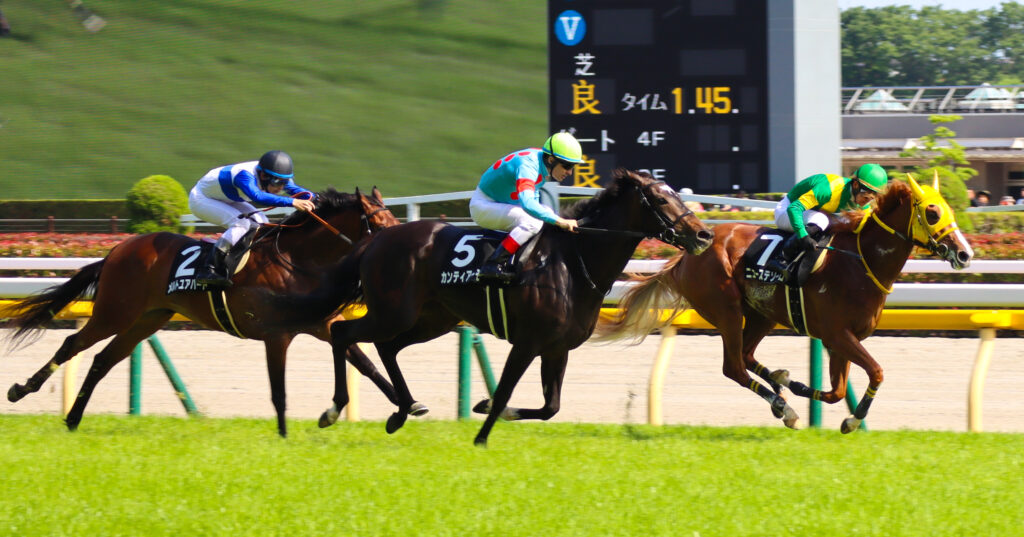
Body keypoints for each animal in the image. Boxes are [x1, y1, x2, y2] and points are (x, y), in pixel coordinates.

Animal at [4, 187, 407, 437]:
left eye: (395, 222)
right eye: (380, 223)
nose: (397, 247)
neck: (298, 260)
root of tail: (118, 250)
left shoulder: (322, 324)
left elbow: (365, 364)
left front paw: (408, 406)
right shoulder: (276, 334)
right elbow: (279, 390)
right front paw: (283, 435)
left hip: (148, 318)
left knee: (104, 359)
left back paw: (73, 419)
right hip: (115, 312)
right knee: (72, 344)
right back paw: (21, 390)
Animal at [317, 169, 714, 446]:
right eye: (661, 200)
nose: (704, 234)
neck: (572, 262)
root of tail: (377, 239)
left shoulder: (557, 348)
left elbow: (550, 407)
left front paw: (484, 408)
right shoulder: (527, 342)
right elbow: (505, 391)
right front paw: (480, 437)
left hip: (431, 317)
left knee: (388, 347)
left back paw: (402, 411)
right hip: (393, 311)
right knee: (342, 332)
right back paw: (334, 409)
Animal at [601, 174, 974, 432]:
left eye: (949, 209)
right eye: (932, 212)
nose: (964, 253)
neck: (859, 262)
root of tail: (687, 255)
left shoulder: (843, 339)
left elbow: (838, 390)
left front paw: (802, 390)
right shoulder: (837, 335)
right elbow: (876, 372)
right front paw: (852, 420)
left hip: (762, 314)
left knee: (746, 356)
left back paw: (780, 386)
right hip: (727, 311)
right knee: (734, 366)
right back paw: (784, 407)